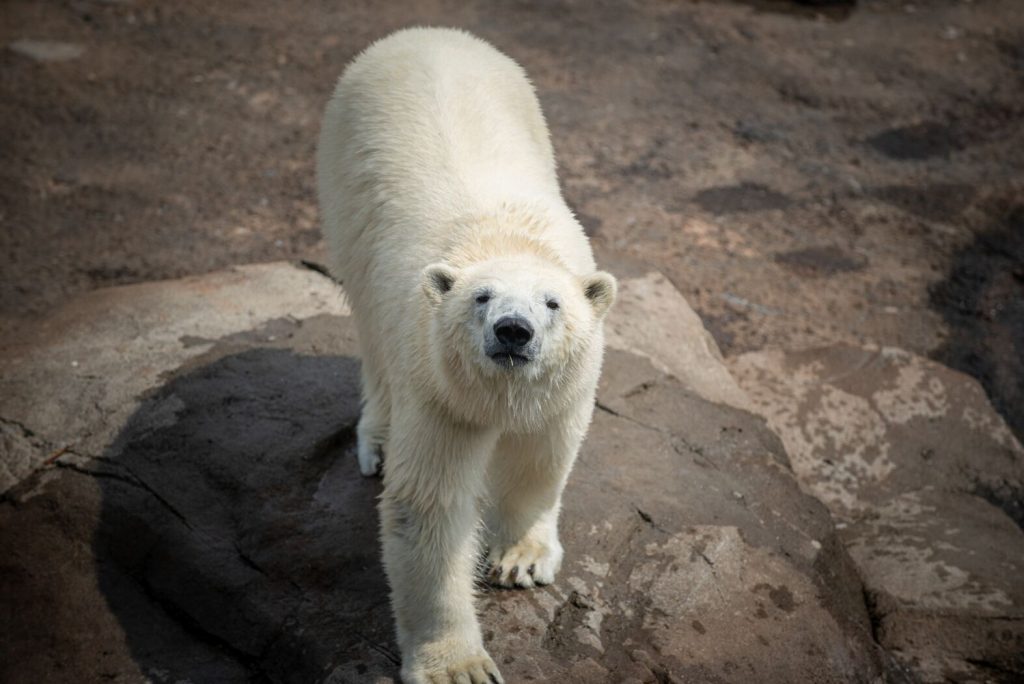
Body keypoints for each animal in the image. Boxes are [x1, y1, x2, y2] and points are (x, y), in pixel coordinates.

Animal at [315, 28, 614, 684]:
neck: (504, 237)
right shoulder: (439, 390)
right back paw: (377, 439)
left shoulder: (564, 391)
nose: (513, 332)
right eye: (482, 297)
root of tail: (422, 33)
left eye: (552, 303)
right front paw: (458, 665)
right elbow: (429, 506)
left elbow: (539, 457)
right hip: (344, 177)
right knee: (369, 325)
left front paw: (520, 559)